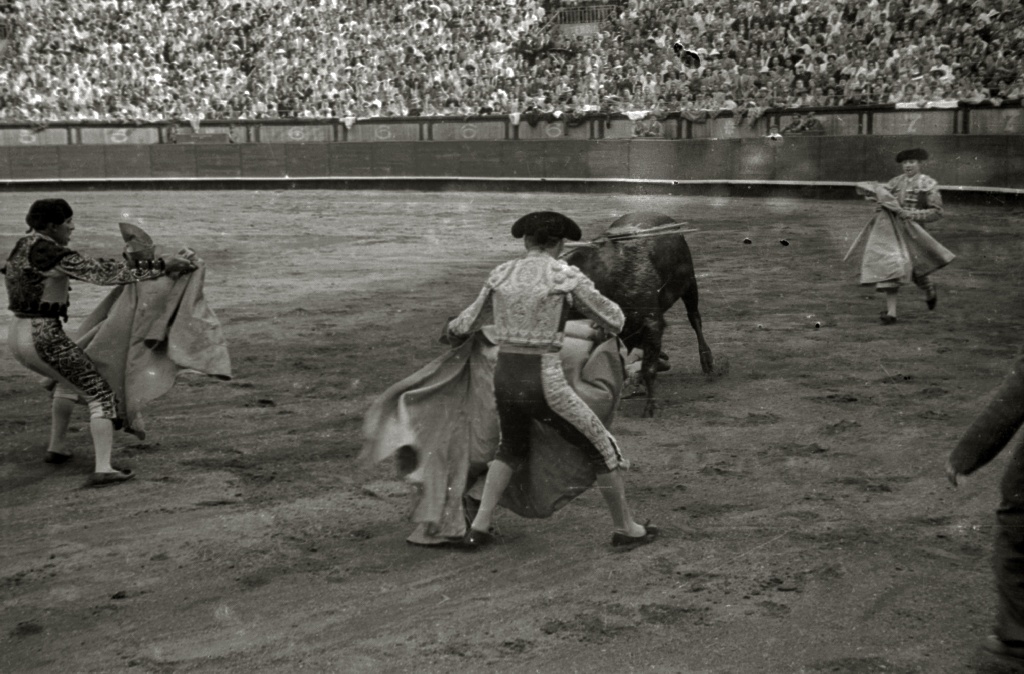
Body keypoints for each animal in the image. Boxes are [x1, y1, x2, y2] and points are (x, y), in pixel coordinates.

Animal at [563, 212, 716, 417]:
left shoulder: (652, 322)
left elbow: (648, 367)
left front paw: (650, 407)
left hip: (690, 284)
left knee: (695, 318)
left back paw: (707, 361)